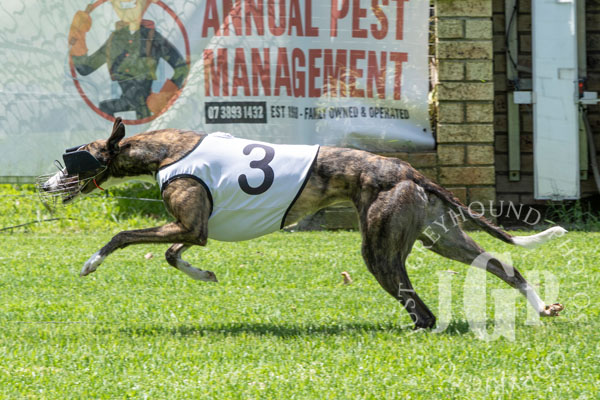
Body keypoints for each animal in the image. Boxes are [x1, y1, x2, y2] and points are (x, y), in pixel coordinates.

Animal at [40, 118, 565, 329]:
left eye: (76, 160)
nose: (44, 187)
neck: (167, 150)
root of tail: (407, 170)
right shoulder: (194, 230)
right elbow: (173, 255)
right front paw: (204, 274)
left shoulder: (189, 226)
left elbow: (123, 235)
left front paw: (90, 263)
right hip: (443, 238)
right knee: (506, 267)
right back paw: (542, 307)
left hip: (380, 249)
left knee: (421, 307)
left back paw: (421, 330)